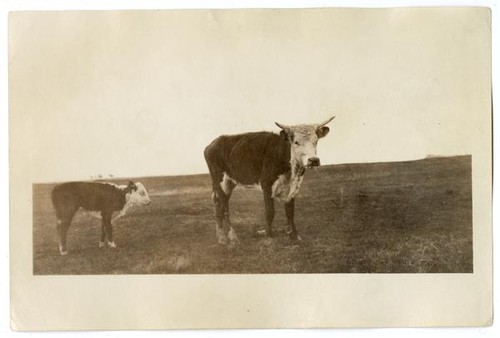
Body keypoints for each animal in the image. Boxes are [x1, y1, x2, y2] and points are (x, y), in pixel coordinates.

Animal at [203, 116, 336, 246]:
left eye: (316, 141)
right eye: (296, 142)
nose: (313, 160)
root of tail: (213, 143)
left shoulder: (293, 188)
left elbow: (290, 213)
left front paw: (295, 237)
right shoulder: (267, 185)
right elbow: (270, 212)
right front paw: (269, 237)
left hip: (229, 183)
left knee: (217, 204)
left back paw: (220, 236)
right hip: (220, 181)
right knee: (224, 208)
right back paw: (230, 237)